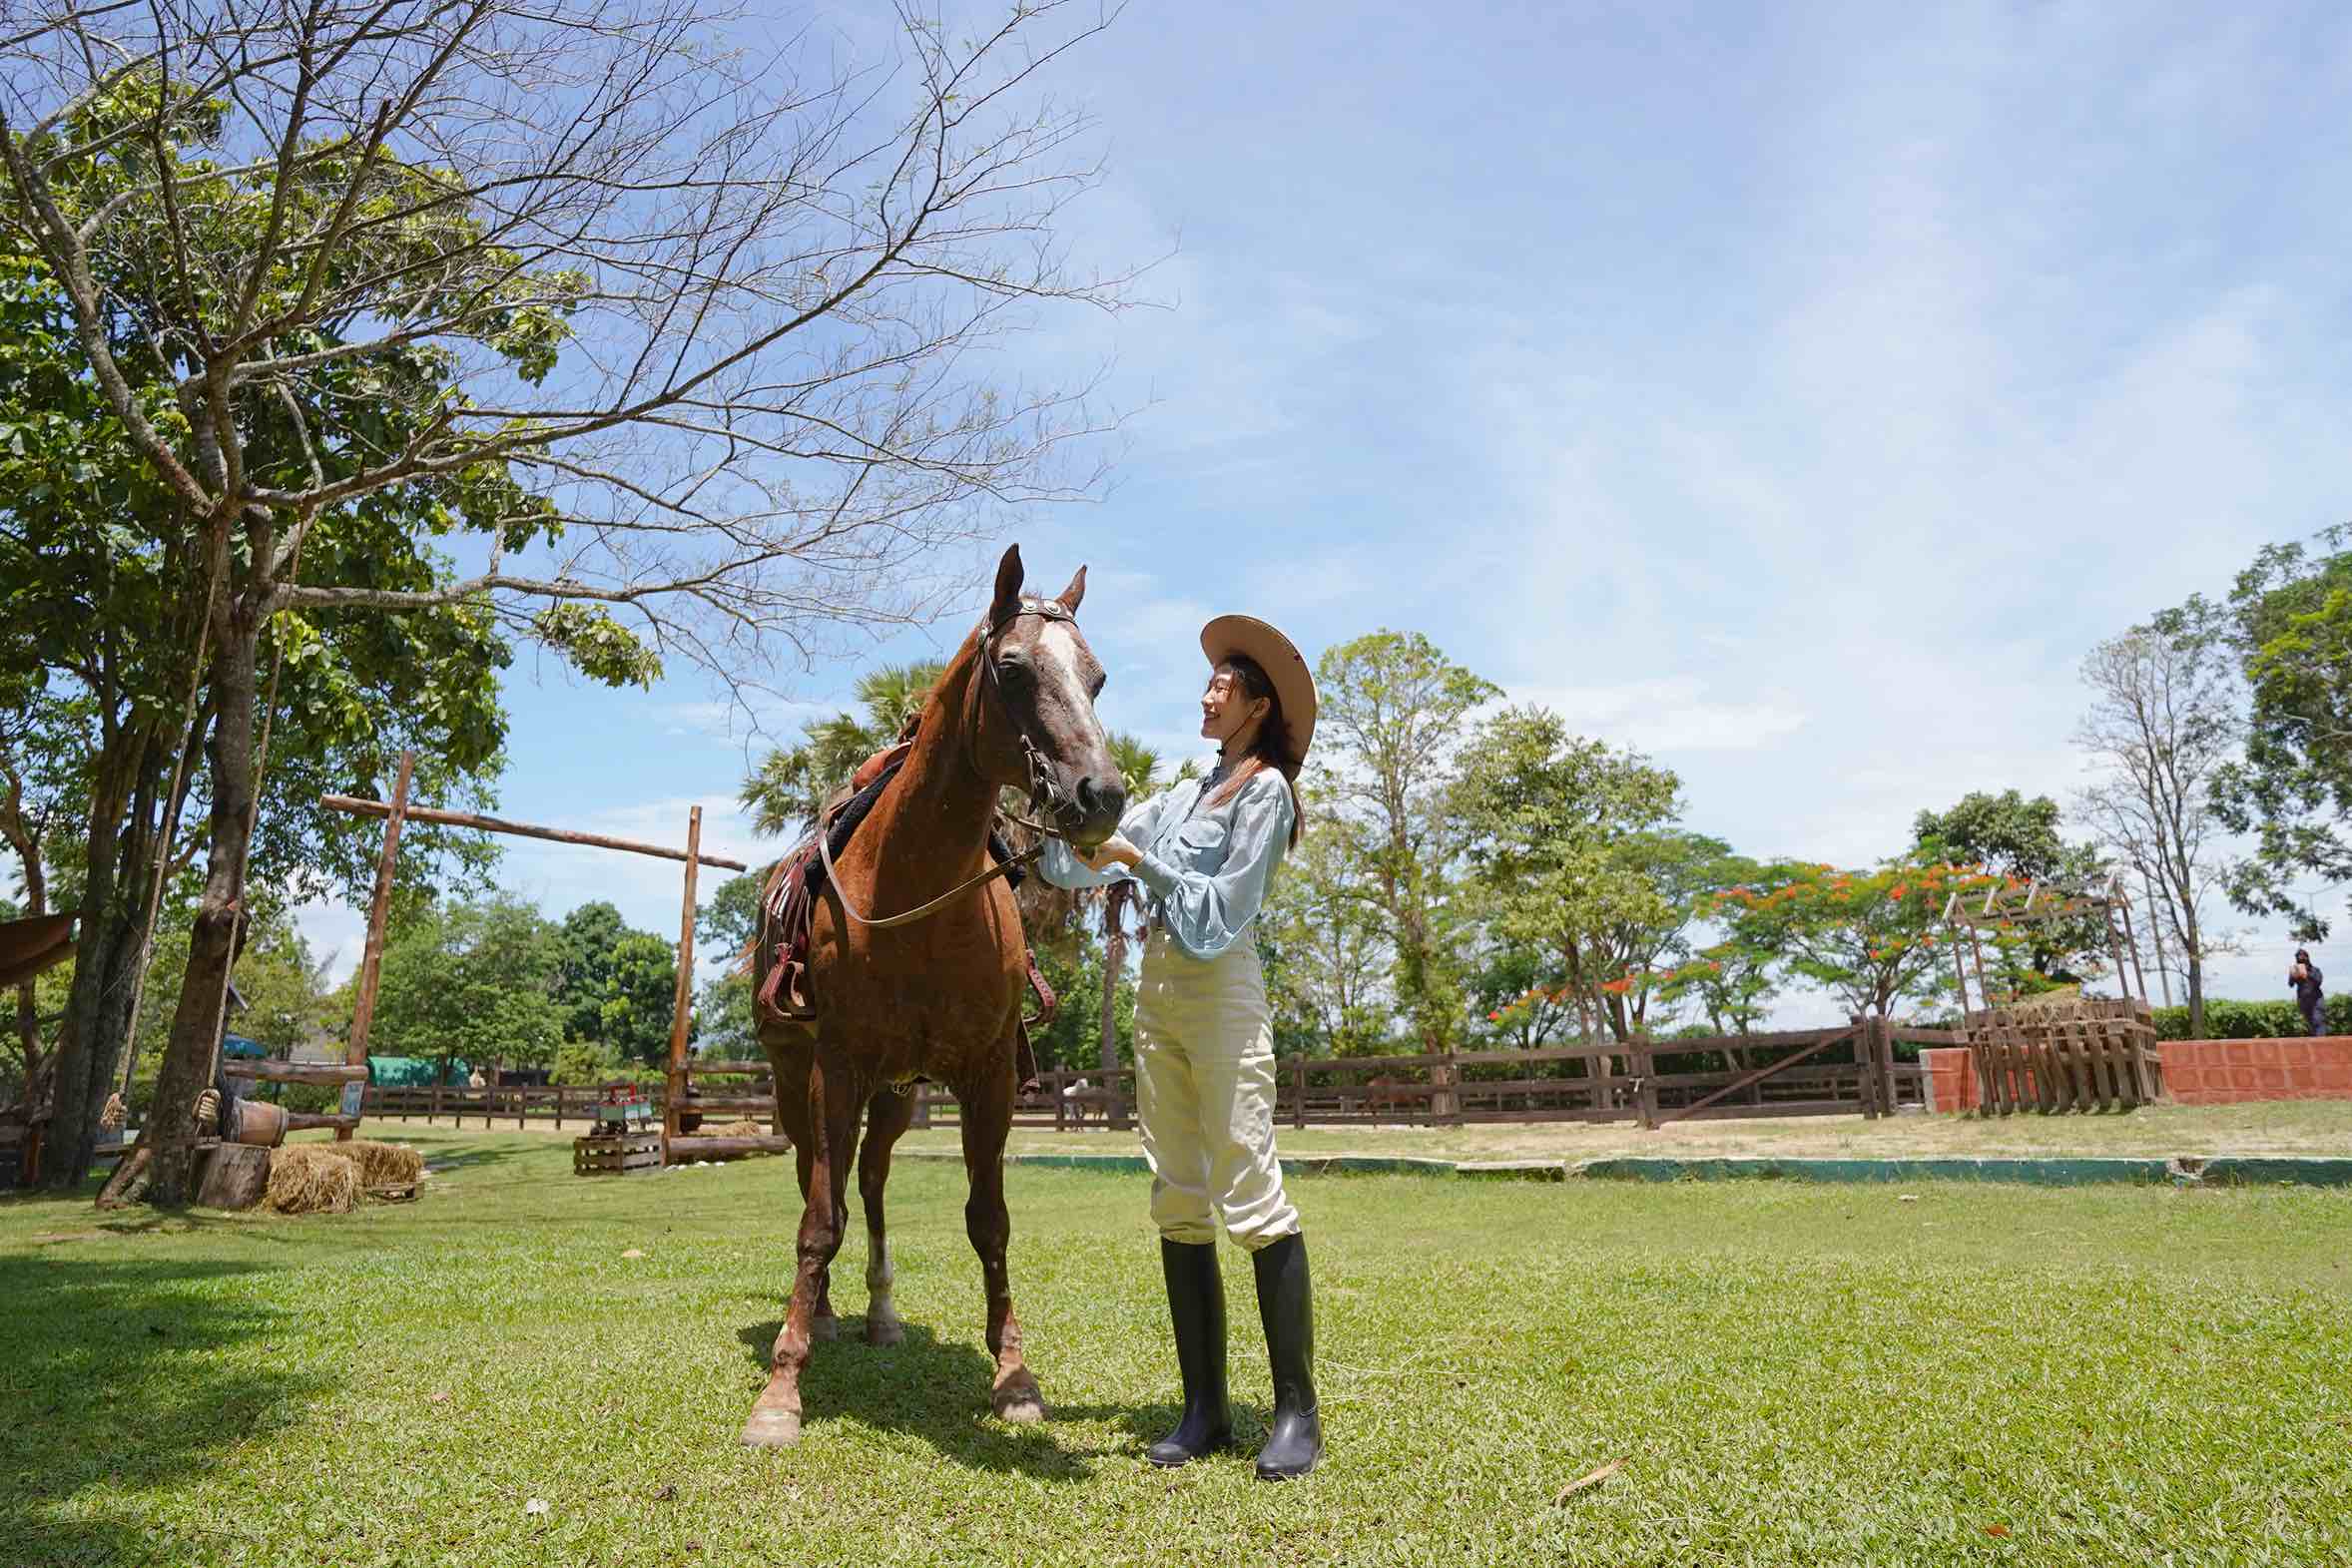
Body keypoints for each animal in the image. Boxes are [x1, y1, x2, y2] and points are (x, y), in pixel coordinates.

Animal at [748, 550, 1124, 1447]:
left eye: (1096, 676)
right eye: (1013, 668)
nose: (1100, 795)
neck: (916, 883)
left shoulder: (987, 1075)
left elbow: (989, 1219)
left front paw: (1014, 1373)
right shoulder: (837, 1067)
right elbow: (817, 1221)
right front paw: (782, 1386)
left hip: (895, 1094)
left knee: (874, 1181)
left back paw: (879, 1315)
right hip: (796, 1080)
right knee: (820, 1179)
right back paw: (823, 1316)